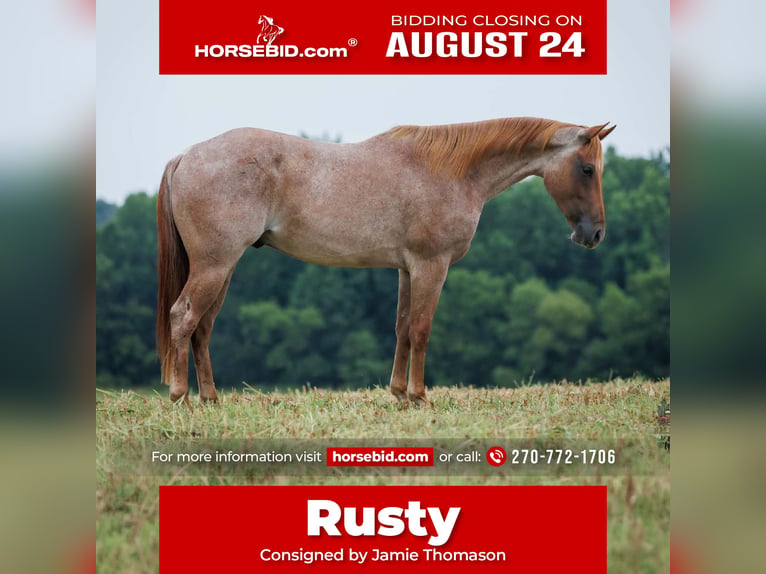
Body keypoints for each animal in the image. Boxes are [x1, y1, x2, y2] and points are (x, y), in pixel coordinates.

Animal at [156, 117, 615, 407]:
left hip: (222, 268)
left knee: (202, 327)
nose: (594, 234)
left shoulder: (407, 269)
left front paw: (398, 393)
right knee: (183, 317)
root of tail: (186, 155)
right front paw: (419, 396)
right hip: (215, 265)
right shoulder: (432, 265)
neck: (452, 171)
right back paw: (181, 396)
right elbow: (422, 330)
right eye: (587, 169)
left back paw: (211, 398)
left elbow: (402, 329)